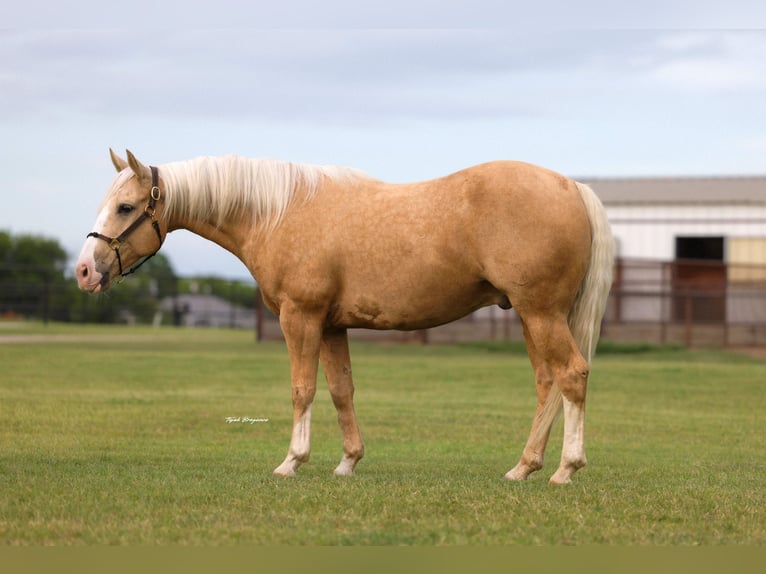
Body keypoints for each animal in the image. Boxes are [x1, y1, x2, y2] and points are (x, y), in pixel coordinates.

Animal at [75, 149, 614, 484]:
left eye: (125, 207)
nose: (84, 271)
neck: (277, 213)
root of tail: (571, 187)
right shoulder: (332, 324)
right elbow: (340, 390)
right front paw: (348, 463)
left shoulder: (301, 317)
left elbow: (303, 389)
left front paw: (292, 462)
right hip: (531, 315)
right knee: (547, 383)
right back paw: (524, 467)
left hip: (541, 313)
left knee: (572, 374)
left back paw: (566, 469)